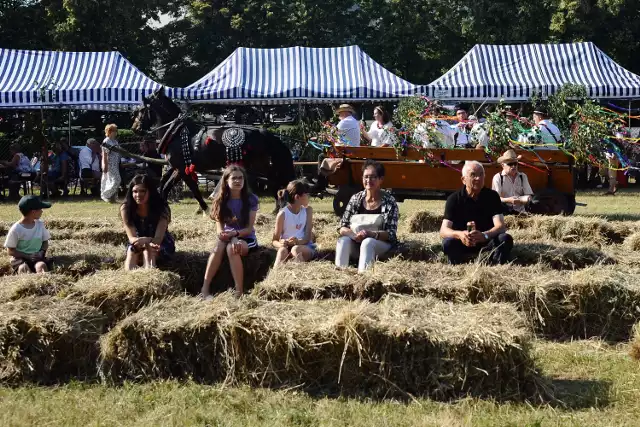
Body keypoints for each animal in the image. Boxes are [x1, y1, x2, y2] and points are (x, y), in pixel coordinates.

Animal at [131, 87, 300, 214]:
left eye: (141, 110)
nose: (135, 128)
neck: (176, 133)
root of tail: (265, 133)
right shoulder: (177, 168)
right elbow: (164, 186)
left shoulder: (182, 169)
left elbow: (193, 189)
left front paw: (205, 209)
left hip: (261, 165)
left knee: (275, 181)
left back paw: (279, 207)